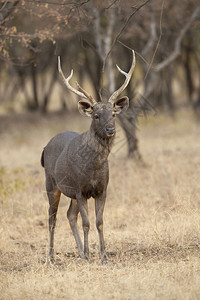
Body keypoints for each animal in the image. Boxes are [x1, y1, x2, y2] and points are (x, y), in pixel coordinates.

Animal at [41, 50, 136, 264]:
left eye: (113, 114)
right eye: (96, 115)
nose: (110, 129)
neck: (93, 168)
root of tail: (45, 147)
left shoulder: (102, 190)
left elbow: (99, 222)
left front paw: (102, 255)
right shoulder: (80, 190)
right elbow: (86, 223)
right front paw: (90, 255)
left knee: (69, 215)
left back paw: (81, 252)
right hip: (51, 184)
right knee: (52, 218)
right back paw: (51, 256)